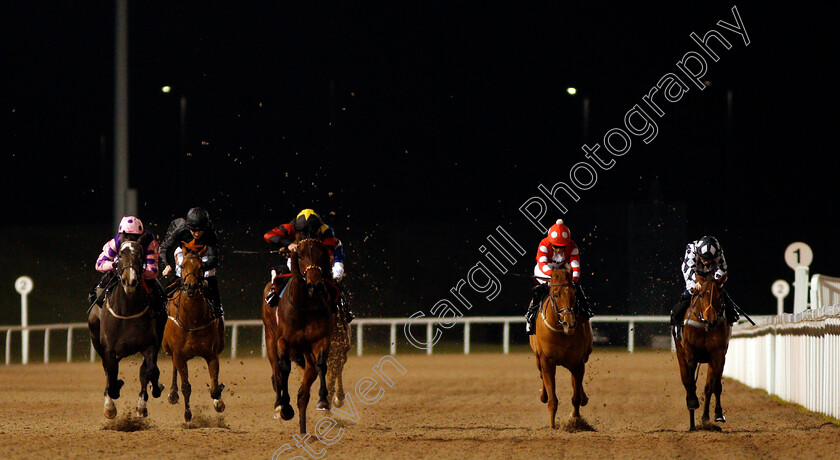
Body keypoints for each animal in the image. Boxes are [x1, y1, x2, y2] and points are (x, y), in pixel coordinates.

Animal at [89, 239, 167, 418]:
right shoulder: (110, 350)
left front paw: (149, 397)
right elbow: (111, 377)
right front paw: (110, 405)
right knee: (107, 370)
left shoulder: (150, 345)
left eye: (140, 254)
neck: (128, 311)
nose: (129, 280)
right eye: (120, 254)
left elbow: (150, 371)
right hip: (96, 339)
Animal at [161, 246, 225, 422]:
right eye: (182, 265)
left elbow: (214, 386)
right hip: (170, 350)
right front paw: (187, 414)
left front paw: (218, 401)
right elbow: (186, 386)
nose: (191, 286)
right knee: (174, 368)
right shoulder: (178, 354)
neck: (192, 321)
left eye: (201, 267)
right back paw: (172, 393)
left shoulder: (212, 354)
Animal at [260, 239, 334, 434]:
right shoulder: (283, 342)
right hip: (270, 338)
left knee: (303, 393)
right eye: (299, 255)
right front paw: (285, 407)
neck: (304, 305)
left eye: (322, 253)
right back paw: (279, 403)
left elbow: (321, 365)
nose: (314, 283)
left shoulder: (321, 340)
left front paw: (323, 400)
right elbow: (283, 369)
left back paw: (303, 430)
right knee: (276, 371)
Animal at [528, 268, 592, 430]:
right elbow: (552, 399)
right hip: (538, 357)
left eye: (575, 294)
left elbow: (576, 396)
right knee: (541, 376)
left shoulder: (577, 362)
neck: (561, 332)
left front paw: (575, 420)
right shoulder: (546, 361)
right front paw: (552, 426)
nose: (570, 323)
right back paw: (543, 395)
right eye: (556, 294)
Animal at [676, 272, 728, 430]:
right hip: (680, 352)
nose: (710, 319)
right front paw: (692, 402)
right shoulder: (690, 352)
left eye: (719, 296)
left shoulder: (718, 354)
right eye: (701, 295)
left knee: (708, 387)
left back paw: (705, 419)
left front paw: (718, 414)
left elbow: (715, 385)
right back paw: (692, 421)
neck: (704, 326)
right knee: (686, 379)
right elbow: (690, 380)